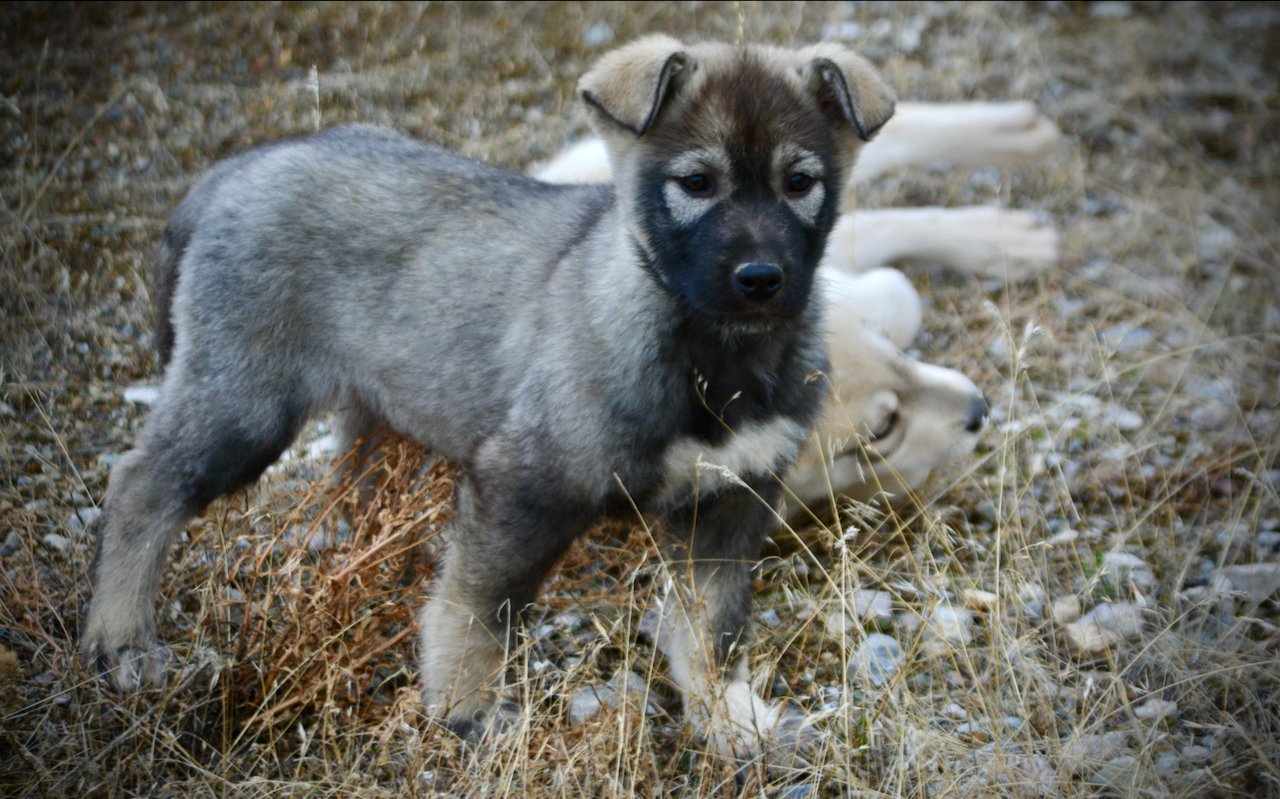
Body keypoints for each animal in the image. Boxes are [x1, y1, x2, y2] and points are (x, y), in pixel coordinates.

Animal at [85, 34, 896, 752]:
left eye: (800, 183)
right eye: (697, 184)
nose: (761, 280)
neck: (713, 357)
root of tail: (235, 171)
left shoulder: (732, 499)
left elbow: (713, 629)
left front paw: (728, 720)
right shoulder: (524, 481)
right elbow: (477, 609)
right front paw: (466, 708)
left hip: (372, 405)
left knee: (346, 480)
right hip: (245, 402)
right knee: (141, 485)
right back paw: (122, 641)